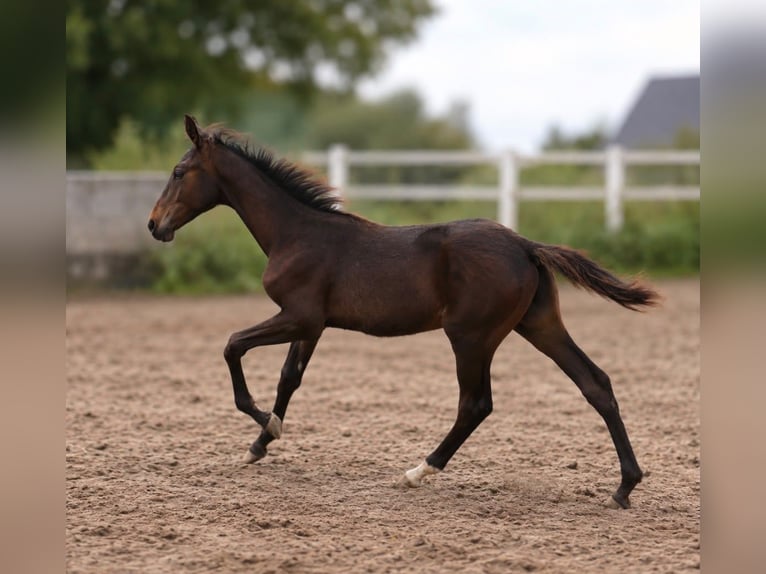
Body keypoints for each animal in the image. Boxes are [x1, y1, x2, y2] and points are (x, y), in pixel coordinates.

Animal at [148, 115, 658, 509]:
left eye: (178, 170)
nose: (154, 226)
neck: (295, 233)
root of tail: (525, 245)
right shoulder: (312, 325)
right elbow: (288, 378)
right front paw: (260, 444)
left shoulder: (300, 316)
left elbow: (233, 346)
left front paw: (264, 426)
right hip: (538, 324)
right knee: (595, 383)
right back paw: (624, 487)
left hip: (471, 336)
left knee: (476, 404)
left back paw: (419, 471)